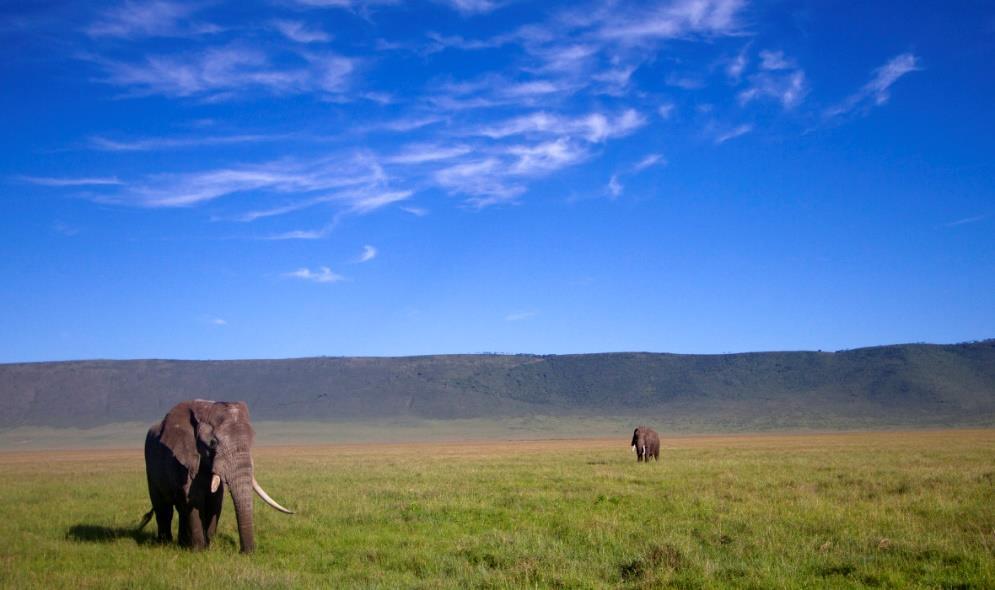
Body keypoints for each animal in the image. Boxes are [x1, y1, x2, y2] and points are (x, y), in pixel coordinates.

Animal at [140, 400, 296, 556]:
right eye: (213, 443)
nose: (246, 552)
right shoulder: (183, 461)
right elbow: (193, 500)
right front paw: (200, 551)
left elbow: (215, 501)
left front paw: (210, 546)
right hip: (150, 467)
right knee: (164, 508)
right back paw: (165, 544)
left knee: (180, 509)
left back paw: (182, 544)